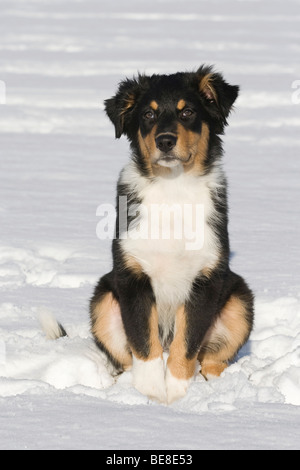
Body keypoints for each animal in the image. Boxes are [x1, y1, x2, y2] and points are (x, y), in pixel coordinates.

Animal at [90, 66, 254, 404]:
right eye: (148, 115)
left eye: (188, 112)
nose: (165, 140)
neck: (173, 187)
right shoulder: (132, 276)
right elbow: (144, 343)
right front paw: (152, 394)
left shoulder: (206, 280)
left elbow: (187, 343)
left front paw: (176, 395)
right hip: (102, 300)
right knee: (125, 360)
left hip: (240, 300)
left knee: (213, 359)